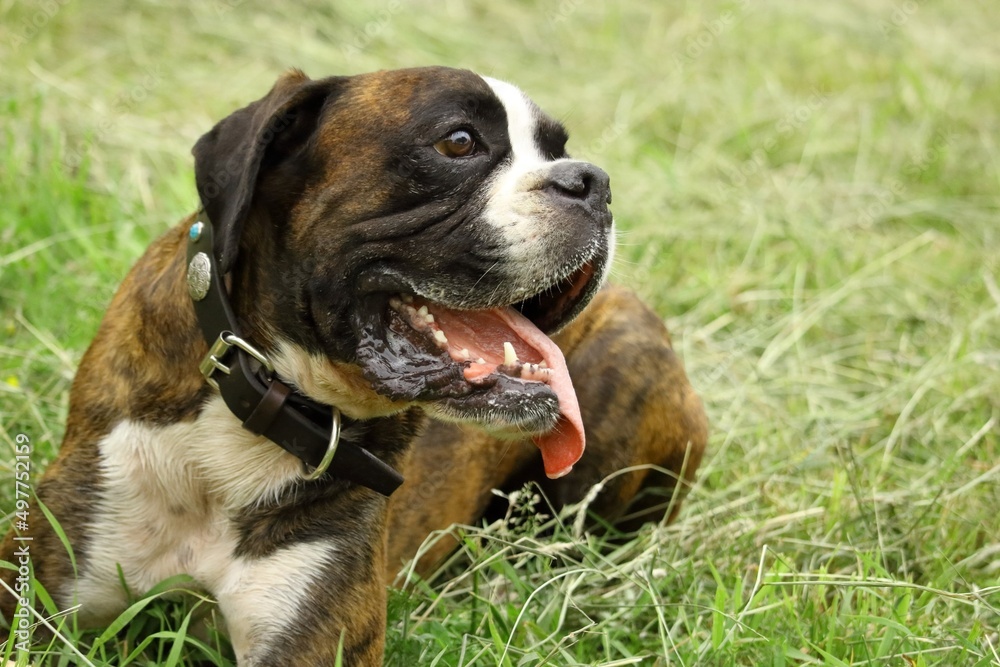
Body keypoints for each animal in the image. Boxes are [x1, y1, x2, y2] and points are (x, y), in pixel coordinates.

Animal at [0, 69, 708, 667]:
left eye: (560, 148)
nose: (593, 181)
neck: (260, 399)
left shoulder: (309, 639)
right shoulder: (43, 589)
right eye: (458, 142)